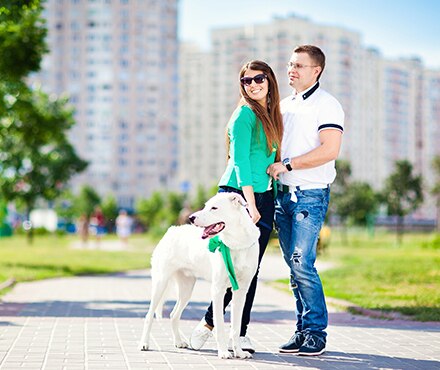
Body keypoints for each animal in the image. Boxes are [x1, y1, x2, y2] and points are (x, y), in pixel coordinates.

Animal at [139, 192, 260, 360]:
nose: (191, 217)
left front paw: (239, 352)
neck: (236, 243)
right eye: (205, 206)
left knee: (174, 314)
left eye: (214, 208)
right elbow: (220, 325)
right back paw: (144, 344)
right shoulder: (218, 290)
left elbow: (235, 327)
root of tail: (172, 230)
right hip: (160, 283)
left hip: (186, 289)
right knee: (149, 315)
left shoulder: (241, 291)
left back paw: (179, 342)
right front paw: (223, 352)